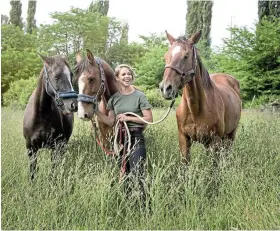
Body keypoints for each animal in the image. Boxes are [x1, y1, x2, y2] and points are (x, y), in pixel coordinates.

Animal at [160, 30, 241, 164]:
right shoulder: (184, 139)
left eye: (185, 56)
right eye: (166, 56)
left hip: (230, 135)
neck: (195, 110)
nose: (165, 88)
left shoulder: (215, 141)